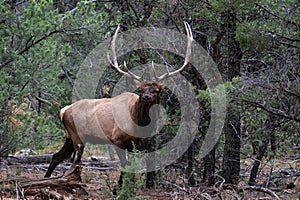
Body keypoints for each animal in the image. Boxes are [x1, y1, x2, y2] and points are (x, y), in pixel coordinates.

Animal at [45, 22, 195, 182]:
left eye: (156, 90)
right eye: (140, 89)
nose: (146, 97)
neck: (137, 122)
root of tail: (63, 110)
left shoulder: (134, 143)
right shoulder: (116, 139)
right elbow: (124, 166)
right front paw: (119, 187)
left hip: (69, 136)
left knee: (55, 157)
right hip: (77, 136)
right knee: (73, 162)